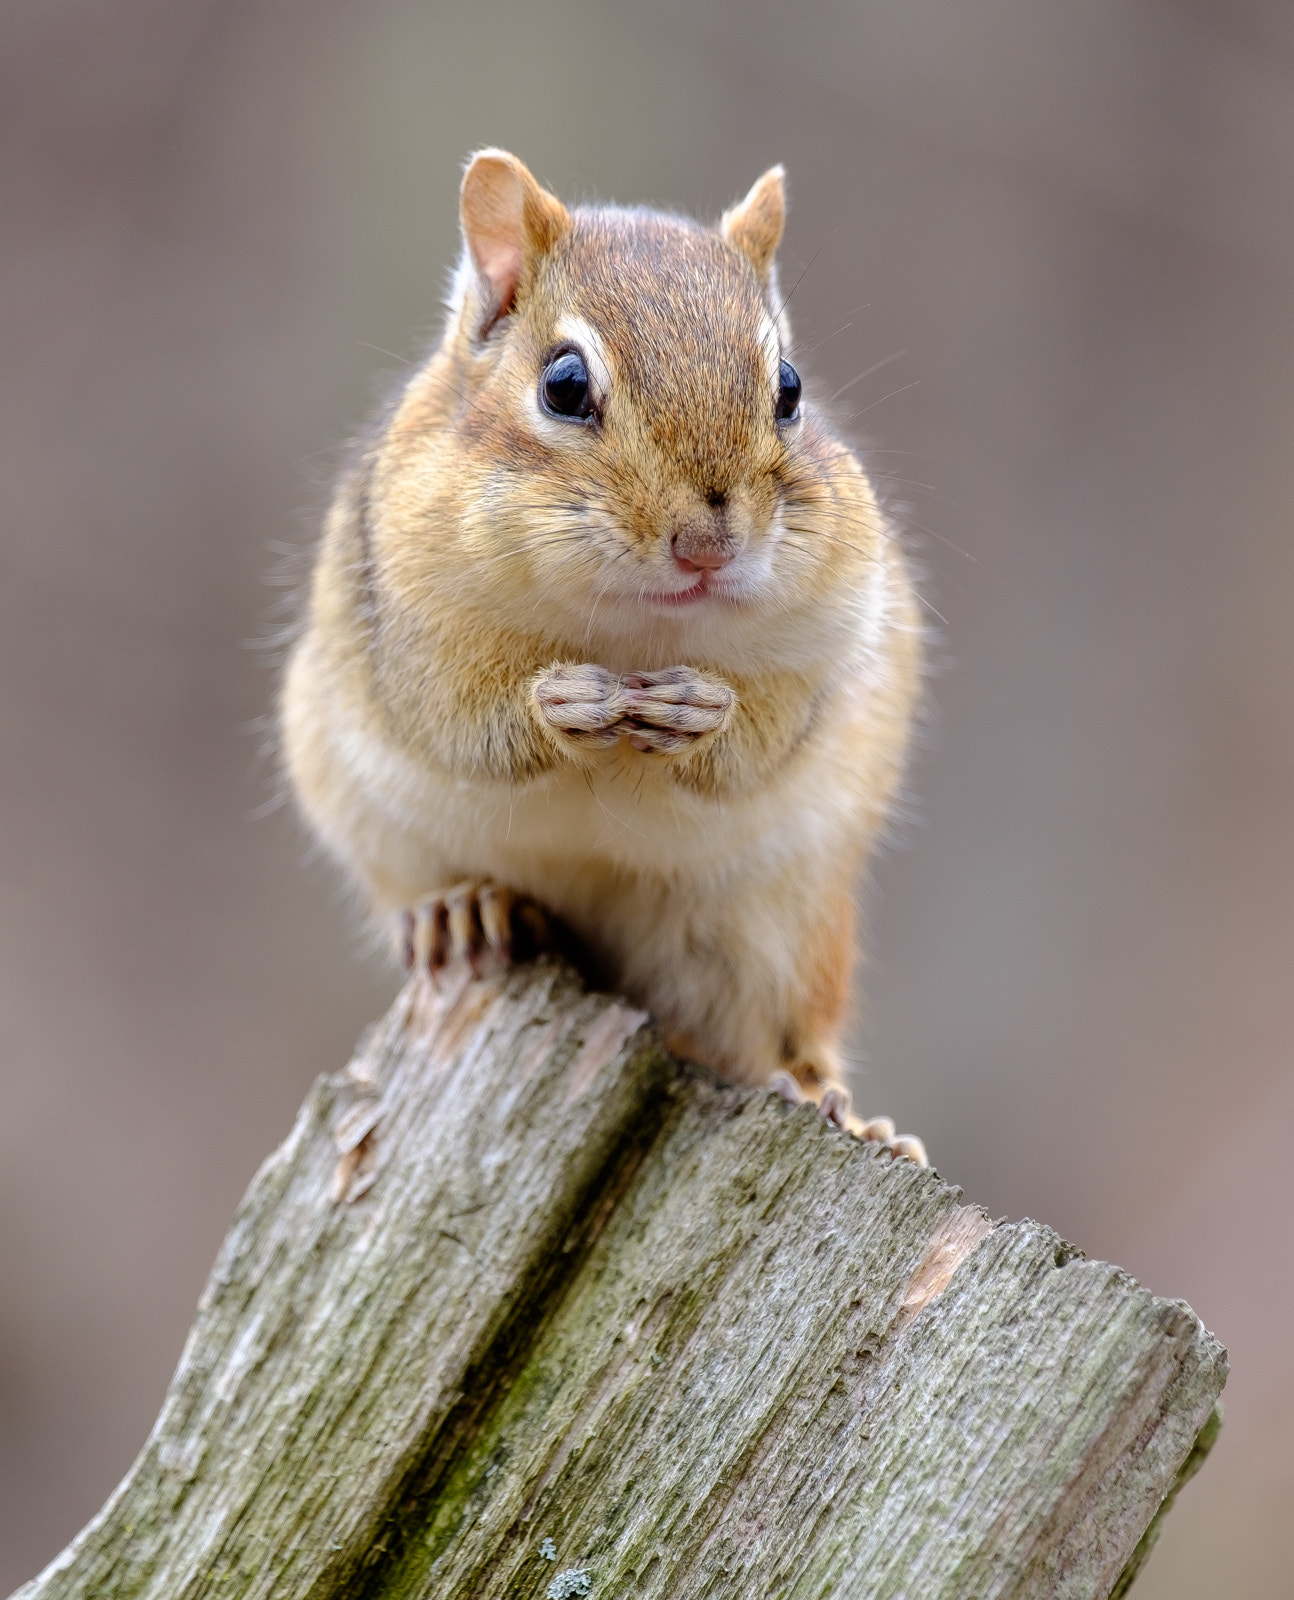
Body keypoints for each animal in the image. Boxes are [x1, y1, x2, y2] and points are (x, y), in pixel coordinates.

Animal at [281, 149, 926, 1163]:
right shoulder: (410, 625)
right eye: (564, 385)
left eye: (789, 387)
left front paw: (704, 713)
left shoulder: (830, 636)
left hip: (787, 933)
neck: (632, 636)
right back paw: (461, 909)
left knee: (782, 1033)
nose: (707, 544)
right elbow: (466, 721)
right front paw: (561, 706)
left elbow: (765, 736)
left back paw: (835, 1103)